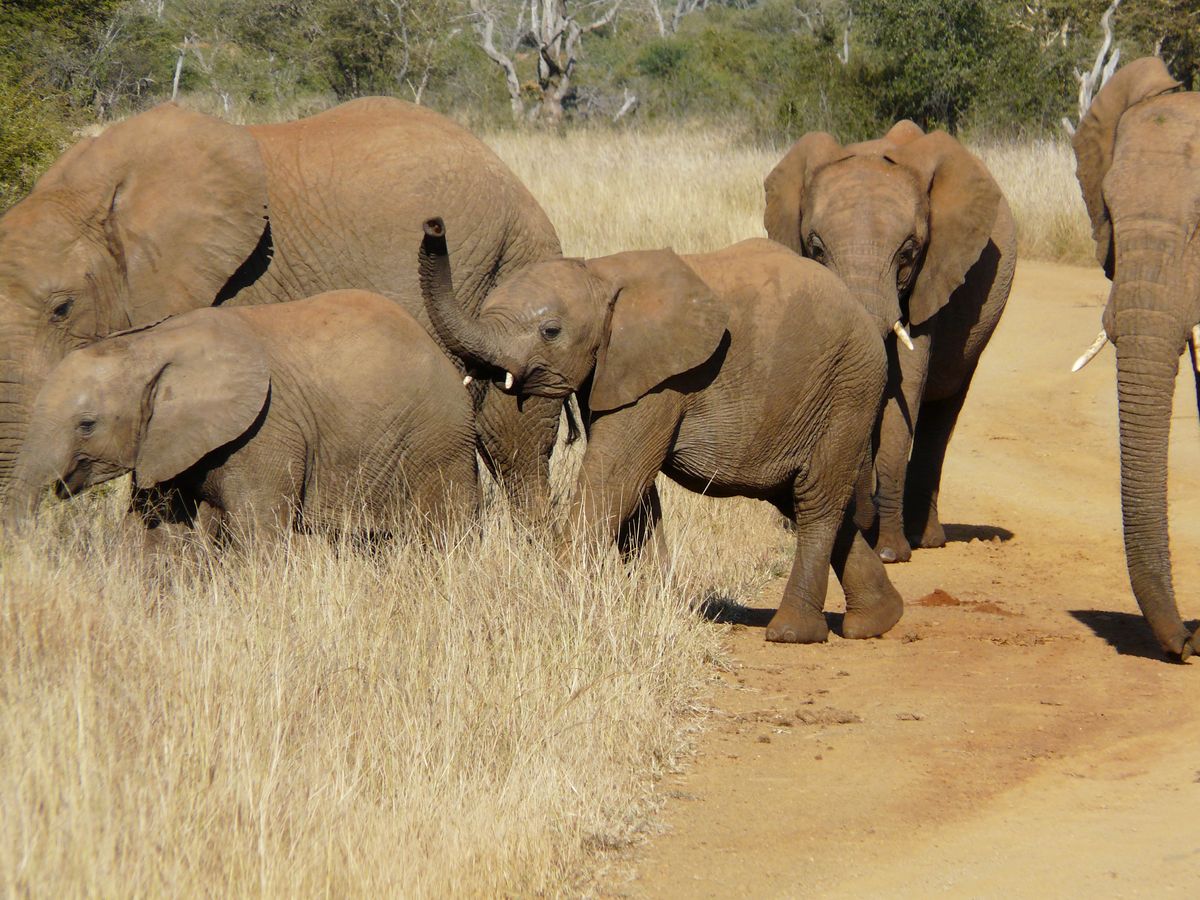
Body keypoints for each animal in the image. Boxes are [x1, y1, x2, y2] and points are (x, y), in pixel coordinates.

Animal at [2, 290, 478, 546]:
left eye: (86, 425)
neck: (153, 343)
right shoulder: (165, 441)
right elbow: (152, 535)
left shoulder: (263, 433)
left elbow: (260, 537)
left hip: (436, 442)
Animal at [417, 218, 904, 644]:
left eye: (550, 331)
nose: (434, 226)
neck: (601, 274)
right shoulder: (615, 372)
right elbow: (637, 492)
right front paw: (656, 606)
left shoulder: (665, 379)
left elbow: (616, 478)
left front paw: (556, 604)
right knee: (800, 496)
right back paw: (878, 622)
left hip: (849, 387)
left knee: (816, 500)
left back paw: (792, 633)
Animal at [764, 122, 1017, 564]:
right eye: (815, 248)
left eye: (909, 253)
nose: (860, 523)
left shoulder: (931, 281)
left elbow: (906, 389)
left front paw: (887, 553)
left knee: (943, 410)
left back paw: (924, 539)